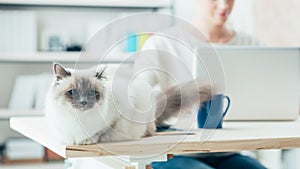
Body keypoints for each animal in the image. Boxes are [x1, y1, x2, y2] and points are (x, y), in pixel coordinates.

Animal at [45, 62, 213, 145]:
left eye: (93, 93)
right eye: (72, 92)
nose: (83, 102)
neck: (77, 118)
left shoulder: (115, 118)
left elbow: (99, 132)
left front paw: (85, 141)